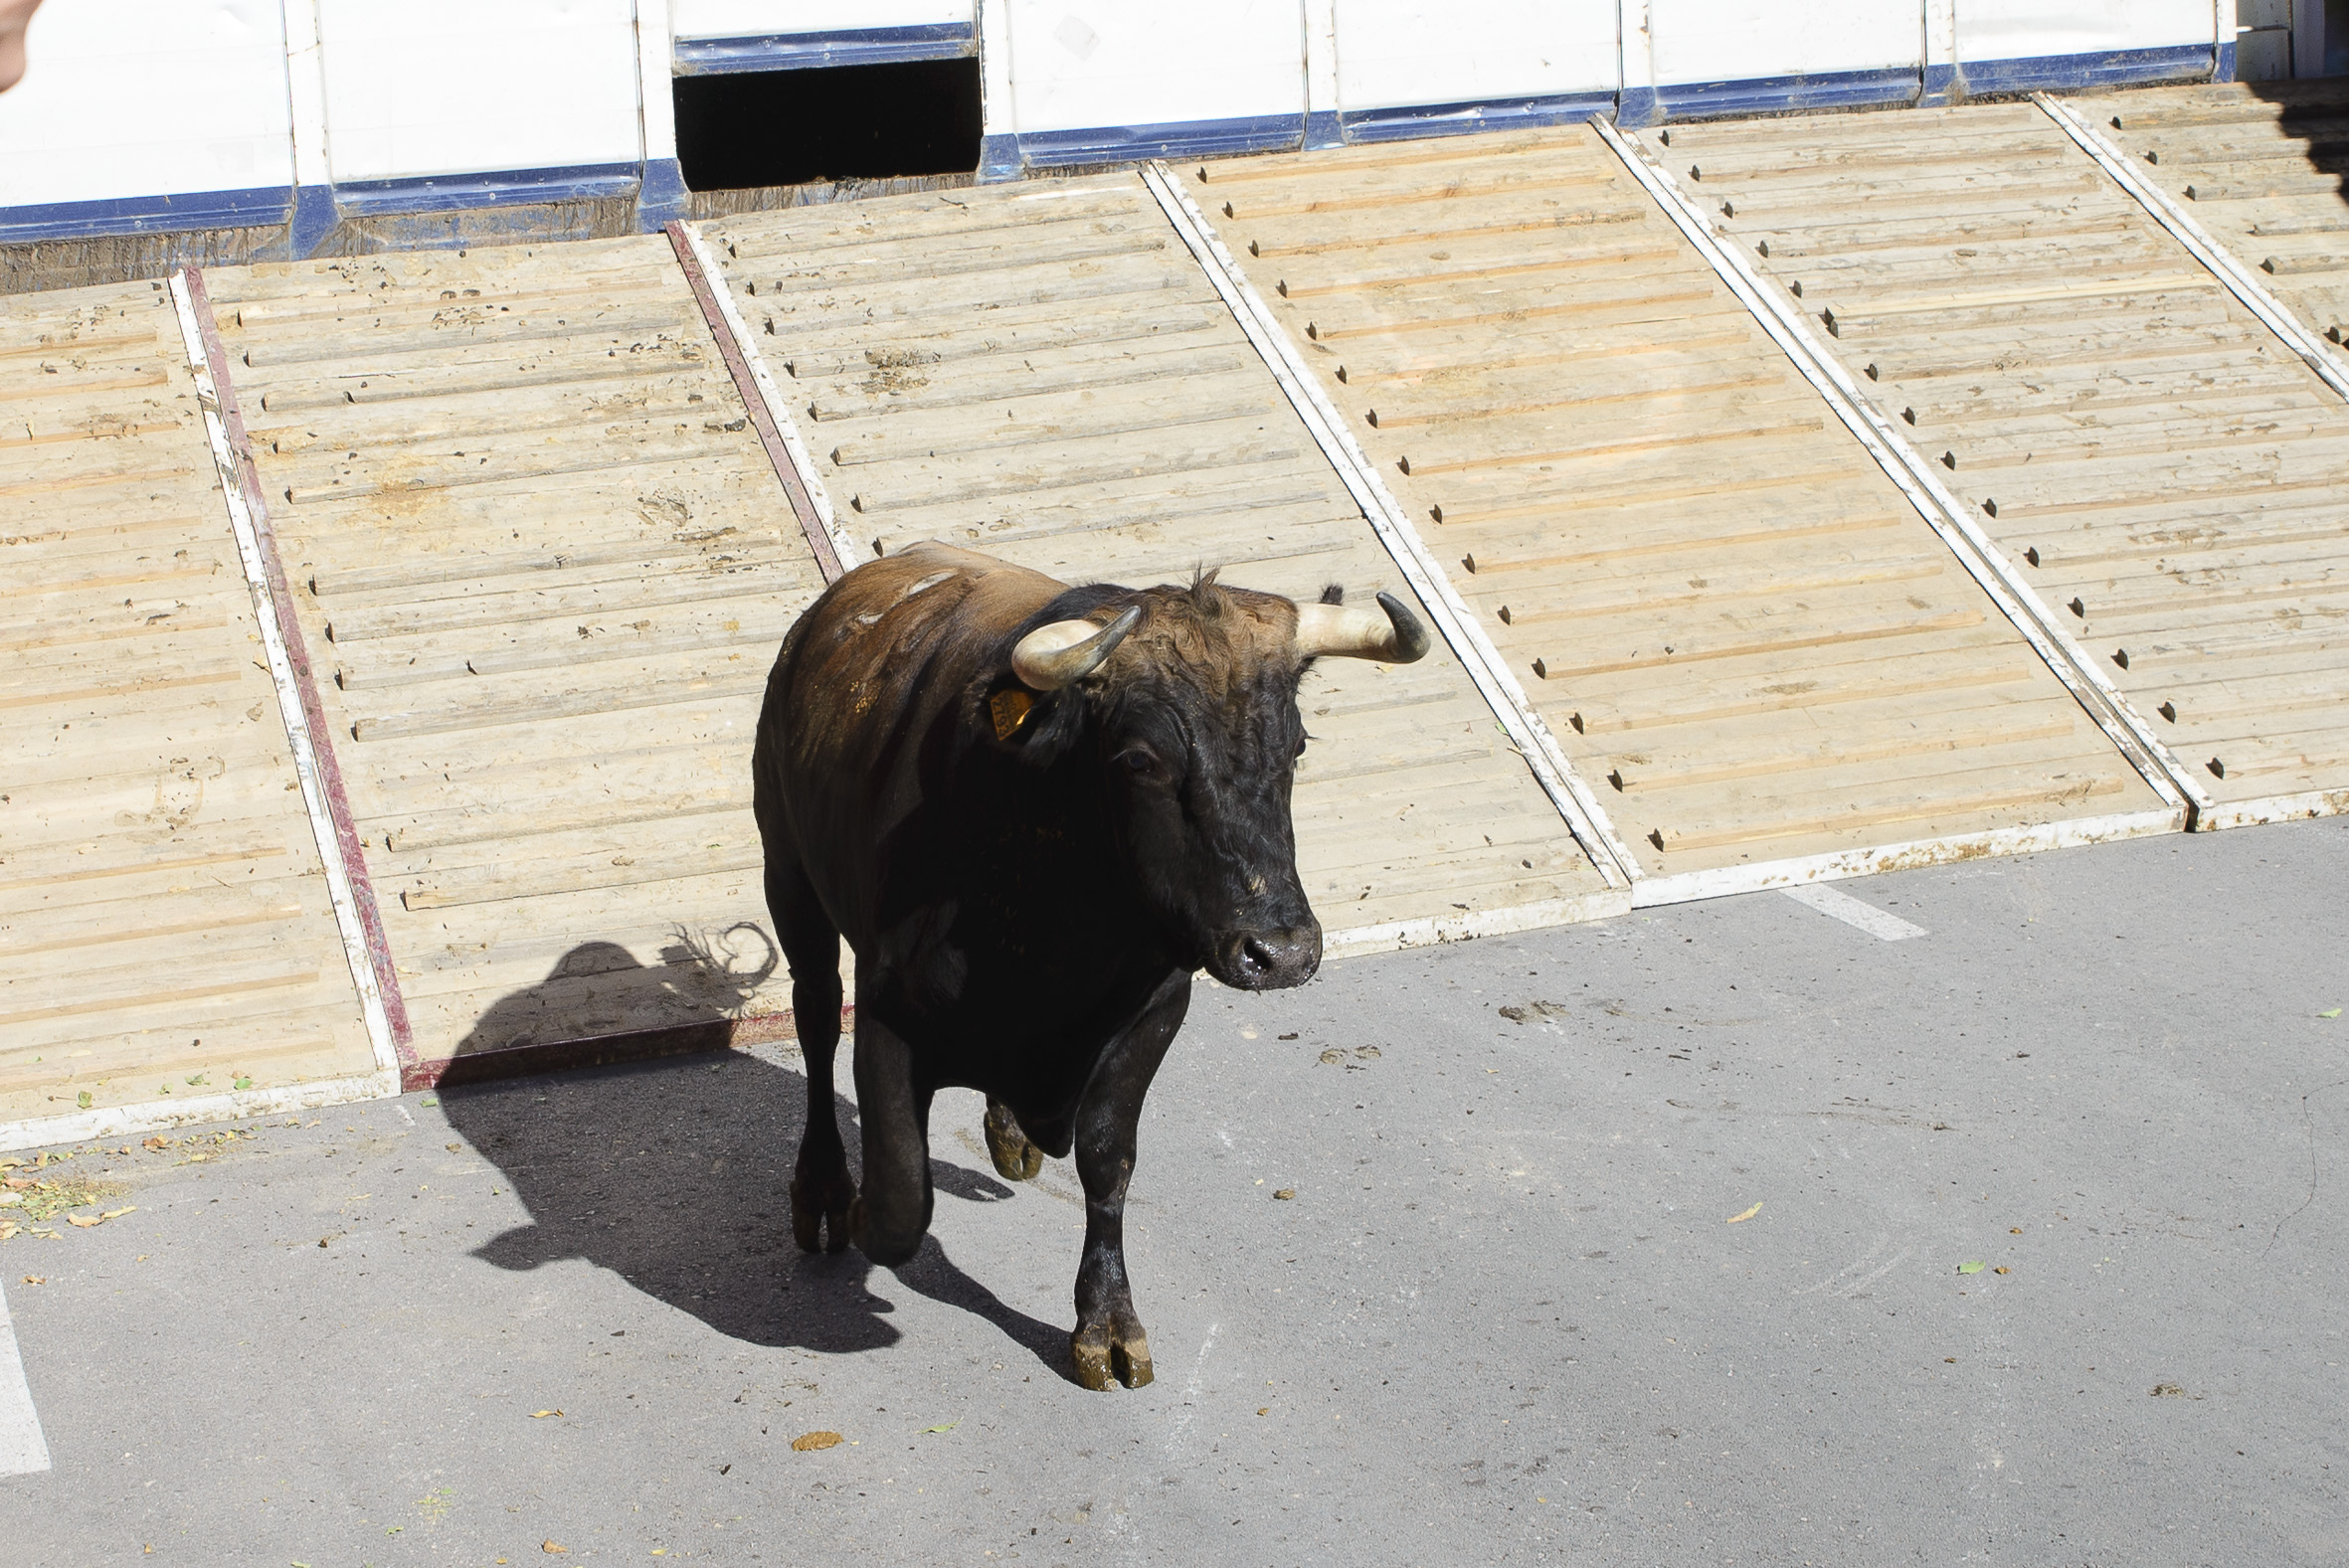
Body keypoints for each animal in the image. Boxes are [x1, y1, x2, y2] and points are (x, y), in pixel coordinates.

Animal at [751, 544, 1418, 1389]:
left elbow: (1108, 1159)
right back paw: (825, 1189)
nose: (1282, 953)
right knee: (812, 1017)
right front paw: (864, 1206)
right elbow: (902, 1195)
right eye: (1141, 758)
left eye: (1295, 746)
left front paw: (1106, 1322)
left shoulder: (1155, 1014)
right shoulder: (885, 1011)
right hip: (788, 873)